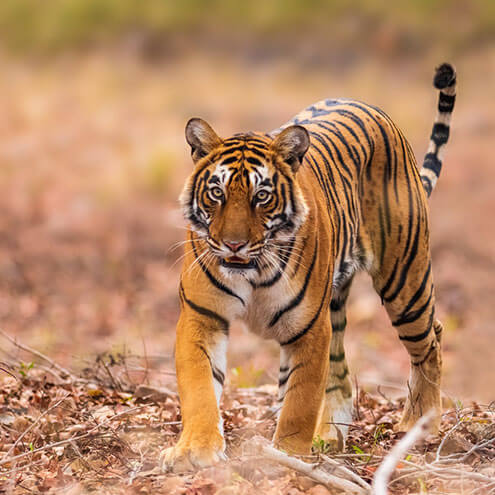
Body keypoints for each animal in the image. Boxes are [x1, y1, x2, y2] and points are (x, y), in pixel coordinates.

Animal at [163, 64, 458, 470]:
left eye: (262, 196)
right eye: (217, 193)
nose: (234, 244)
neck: (253, 272)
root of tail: (371, 107)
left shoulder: (309, 329)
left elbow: (300, 401)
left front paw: (287, 457)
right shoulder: (201, 317)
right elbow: (200, 388)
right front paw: (195, 450)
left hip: (403, 279)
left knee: (431, 339)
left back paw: (418, 424)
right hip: (336, 305)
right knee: (342, 375)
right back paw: (329, 437)